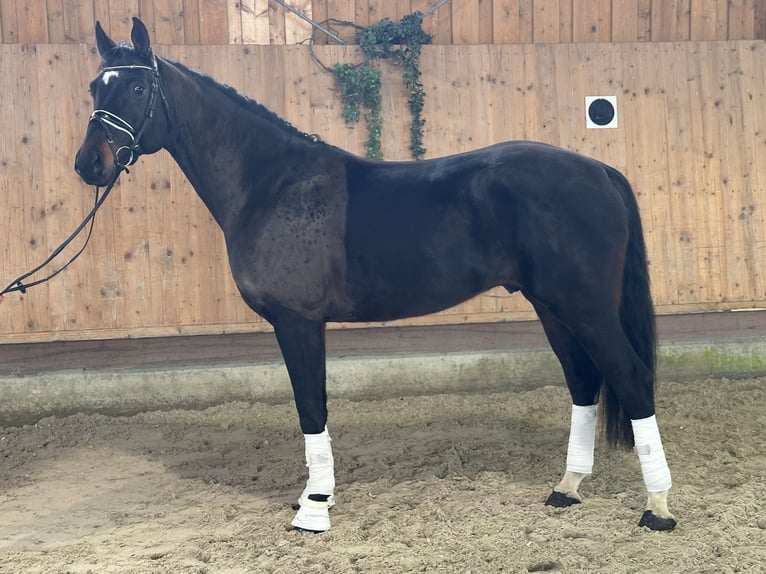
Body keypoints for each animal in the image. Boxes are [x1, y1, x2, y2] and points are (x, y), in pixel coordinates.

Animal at [75, 18, 676, 533]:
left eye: (135, 89)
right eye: (94, 88)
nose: (89, 164)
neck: (272, 183)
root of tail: (599, 170)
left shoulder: (297, 322)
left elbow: (311, 408)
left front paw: (314, 508)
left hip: (586, 307)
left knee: (630, 376)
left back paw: (658, 509)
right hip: (552, 306)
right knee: (584, 381)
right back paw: (567, 488)